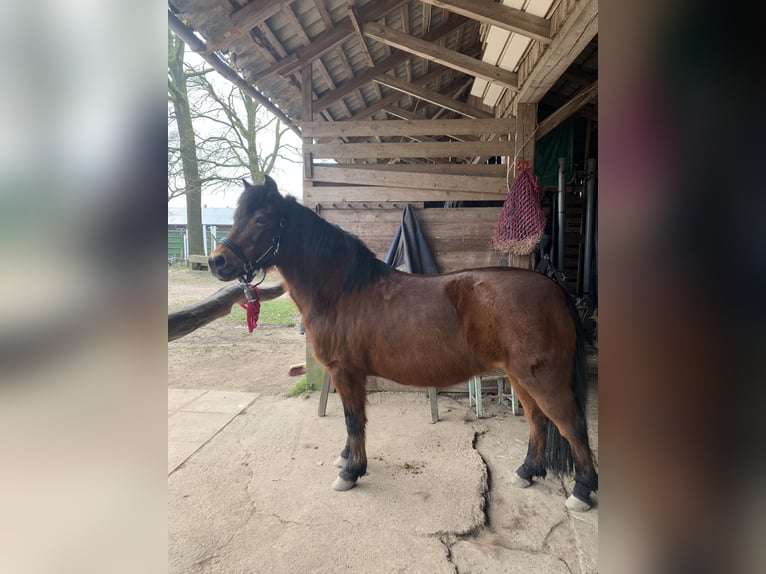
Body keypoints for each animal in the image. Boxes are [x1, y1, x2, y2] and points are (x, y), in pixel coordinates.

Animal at [210, 177, 600, 512]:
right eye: (237, 216)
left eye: (261, 219)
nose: (217, 261)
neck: (341, 292)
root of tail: (553, 289)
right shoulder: (346, 375)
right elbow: (351, 421)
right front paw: (346, 458)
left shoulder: (346, 372)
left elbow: (354, 421)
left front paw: (351, 472)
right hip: (520, 377)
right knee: (538, 420)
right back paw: (527, 472)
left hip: (543, 378)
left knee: (571, 425)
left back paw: (582, 491)